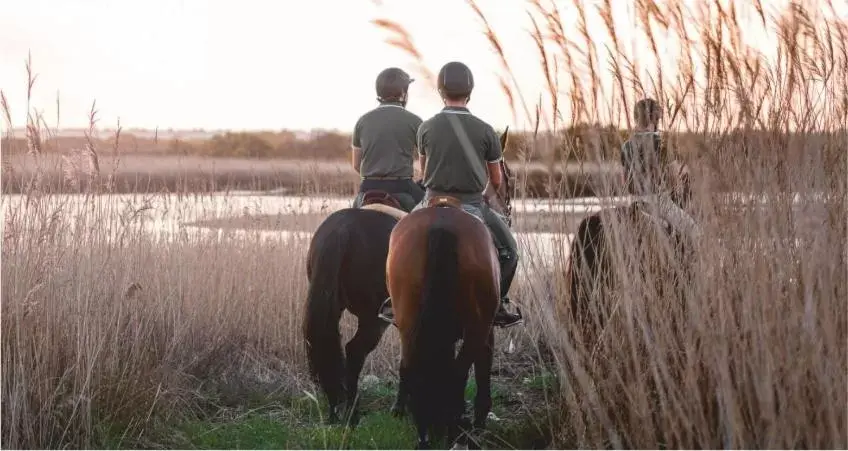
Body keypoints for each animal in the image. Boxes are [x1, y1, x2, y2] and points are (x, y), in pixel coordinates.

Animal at [386, 131, 516, 448]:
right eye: (510, 176)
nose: (508, 210)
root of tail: (442, 223)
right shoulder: (488, 329)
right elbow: (482, 372)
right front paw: (480, 418)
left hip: (409, 320)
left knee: (414, 366)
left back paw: (425, 432)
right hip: (476, 326)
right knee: (458, 375)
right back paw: (458, 429)